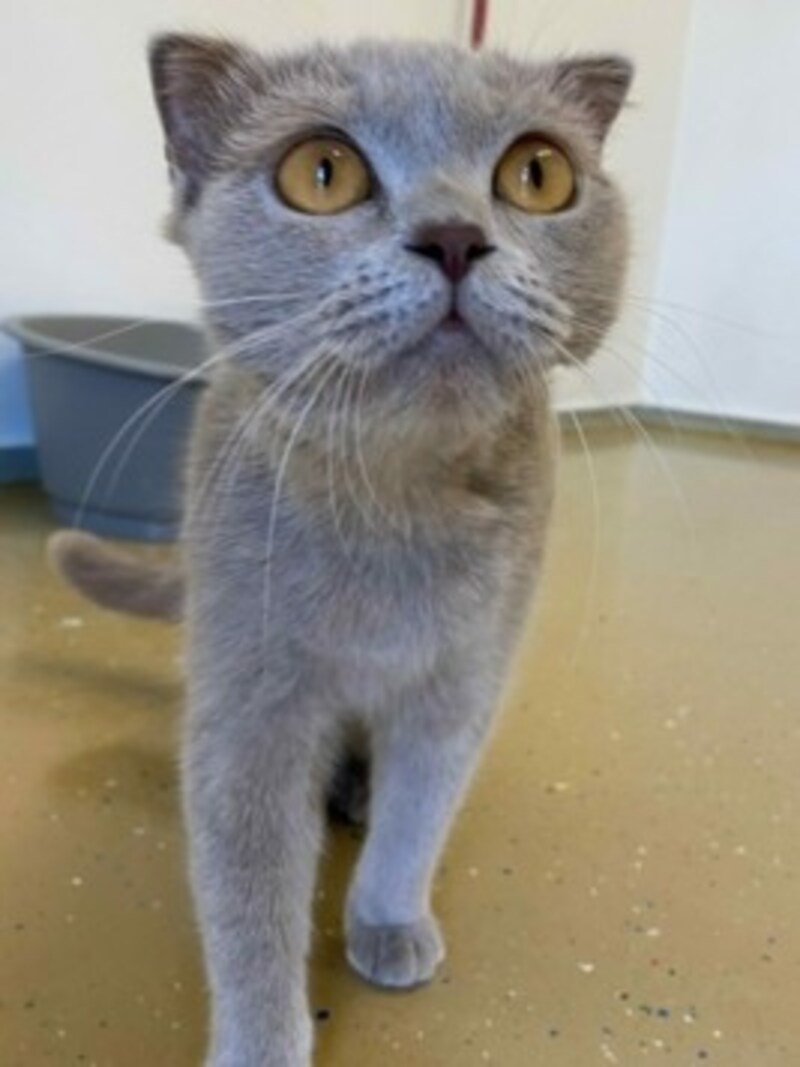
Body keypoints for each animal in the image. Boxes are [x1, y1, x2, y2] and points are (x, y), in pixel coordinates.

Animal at [53, 33, 635, 1067]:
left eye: (539, 174)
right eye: (321, 172)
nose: (454, 236)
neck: (398, 503)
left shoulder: (464, 684)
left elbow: (419, 814)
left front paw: (390, 921)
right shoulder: (249, 713)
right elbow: (249, 895)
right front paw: (261, 1044)